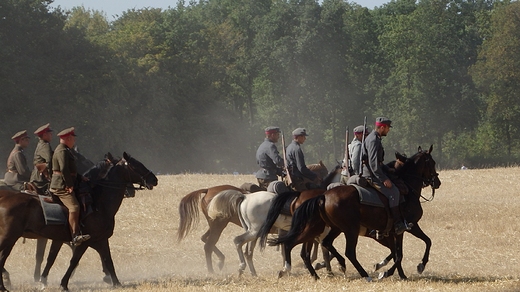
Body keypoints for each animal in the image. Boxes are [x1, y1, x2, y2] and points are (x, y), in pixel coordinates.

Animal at [0, 152, 157, 290]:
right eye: (135, 165)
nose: (154, 179)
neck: (97, 202)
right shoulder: (85, 241)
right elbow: (74, 260)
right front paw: (63, 284)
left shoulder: (97, 240)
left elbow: (107, 259)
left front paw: (116, 283)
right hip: (8, 238)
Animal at [270, 146, 440, 280]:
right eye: (432, 162)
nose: (437, 182)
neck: (407, 189)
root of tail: (322, 196)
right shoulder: (406, 227)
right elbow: (407, 250)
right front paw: (397, 270)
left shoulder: (394, 231)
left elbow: (406, 249)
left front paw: (396, 272)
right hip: (347, 230)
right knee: (347, 252)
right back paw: (362, 274)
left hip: (329, 229)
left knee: (312, 246)